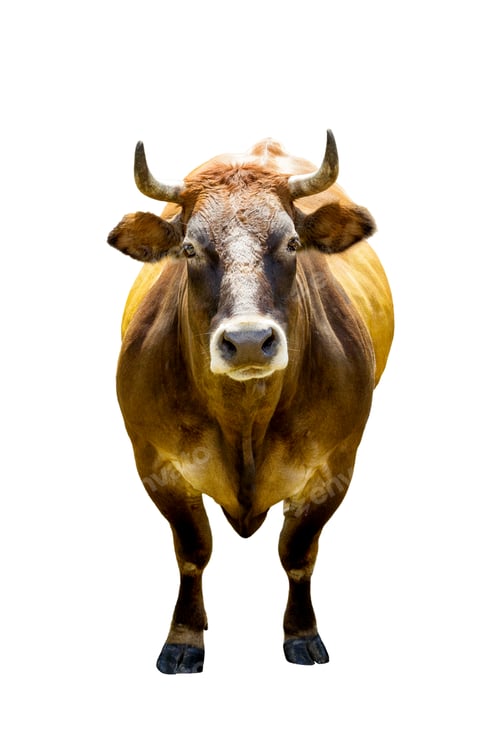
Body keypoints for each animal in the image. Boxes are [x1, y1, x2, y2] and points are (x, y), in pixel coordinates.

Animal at [107, 131, 394, 673]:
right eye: (190, 248)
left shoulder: (335, 465)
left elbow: (297, 552)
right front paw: (183, 638)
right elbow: (193, 549)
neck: (244, 419)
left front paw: (302, 634)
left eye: (293, 242)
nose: (246, 342)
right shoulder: (156, 462)